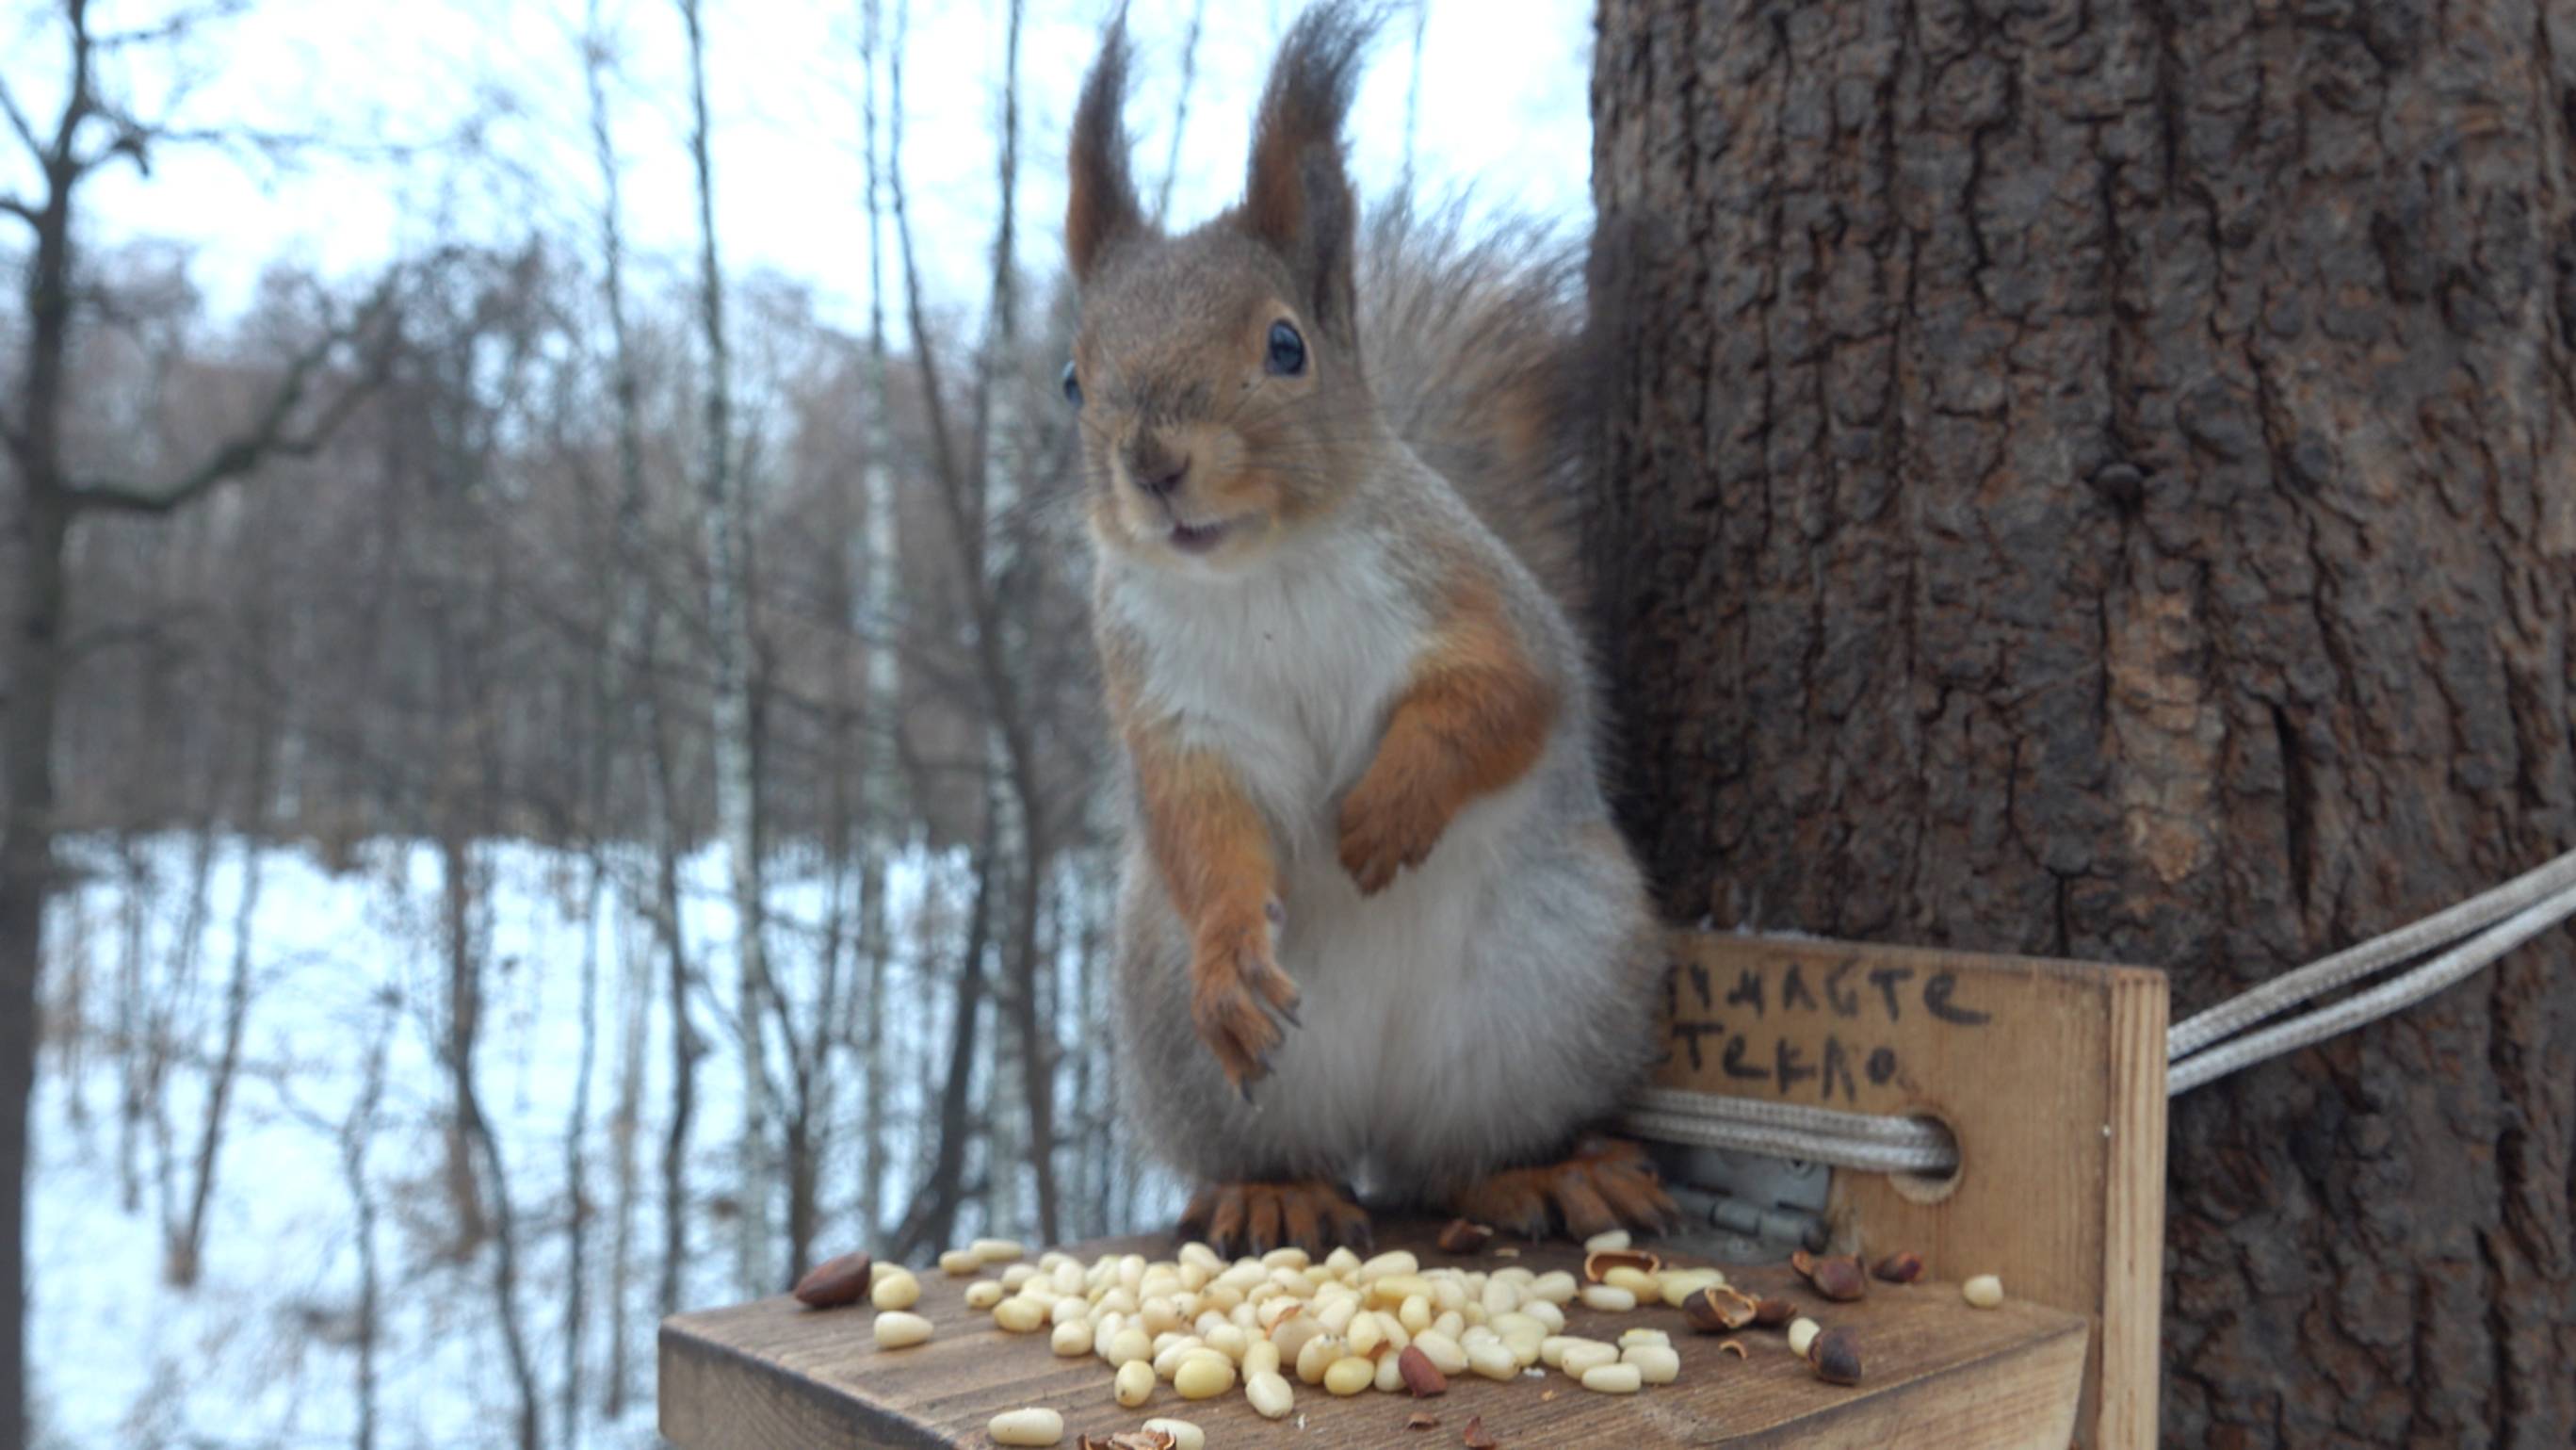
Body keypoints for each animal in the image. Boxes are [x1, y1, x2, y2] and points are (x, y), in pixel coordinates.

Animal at [1061, 0, 1679, 1251]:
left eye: (1285, 346)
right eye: (1070, 381)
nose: (1152, 464)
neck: (1260, 572)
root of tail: (1377, 1113)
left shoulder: (1472, 595)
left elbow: (1504, 695)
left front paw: (1385, 812)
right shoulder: (1169, 703)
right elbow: (1199, 823)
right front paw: (1233, 954)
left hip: (1562, 979)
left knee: (1454, 1160)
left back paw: (1543, 1175)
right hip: (1178, 1040)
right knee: (1310, 1150)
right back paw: (1273, 1191)